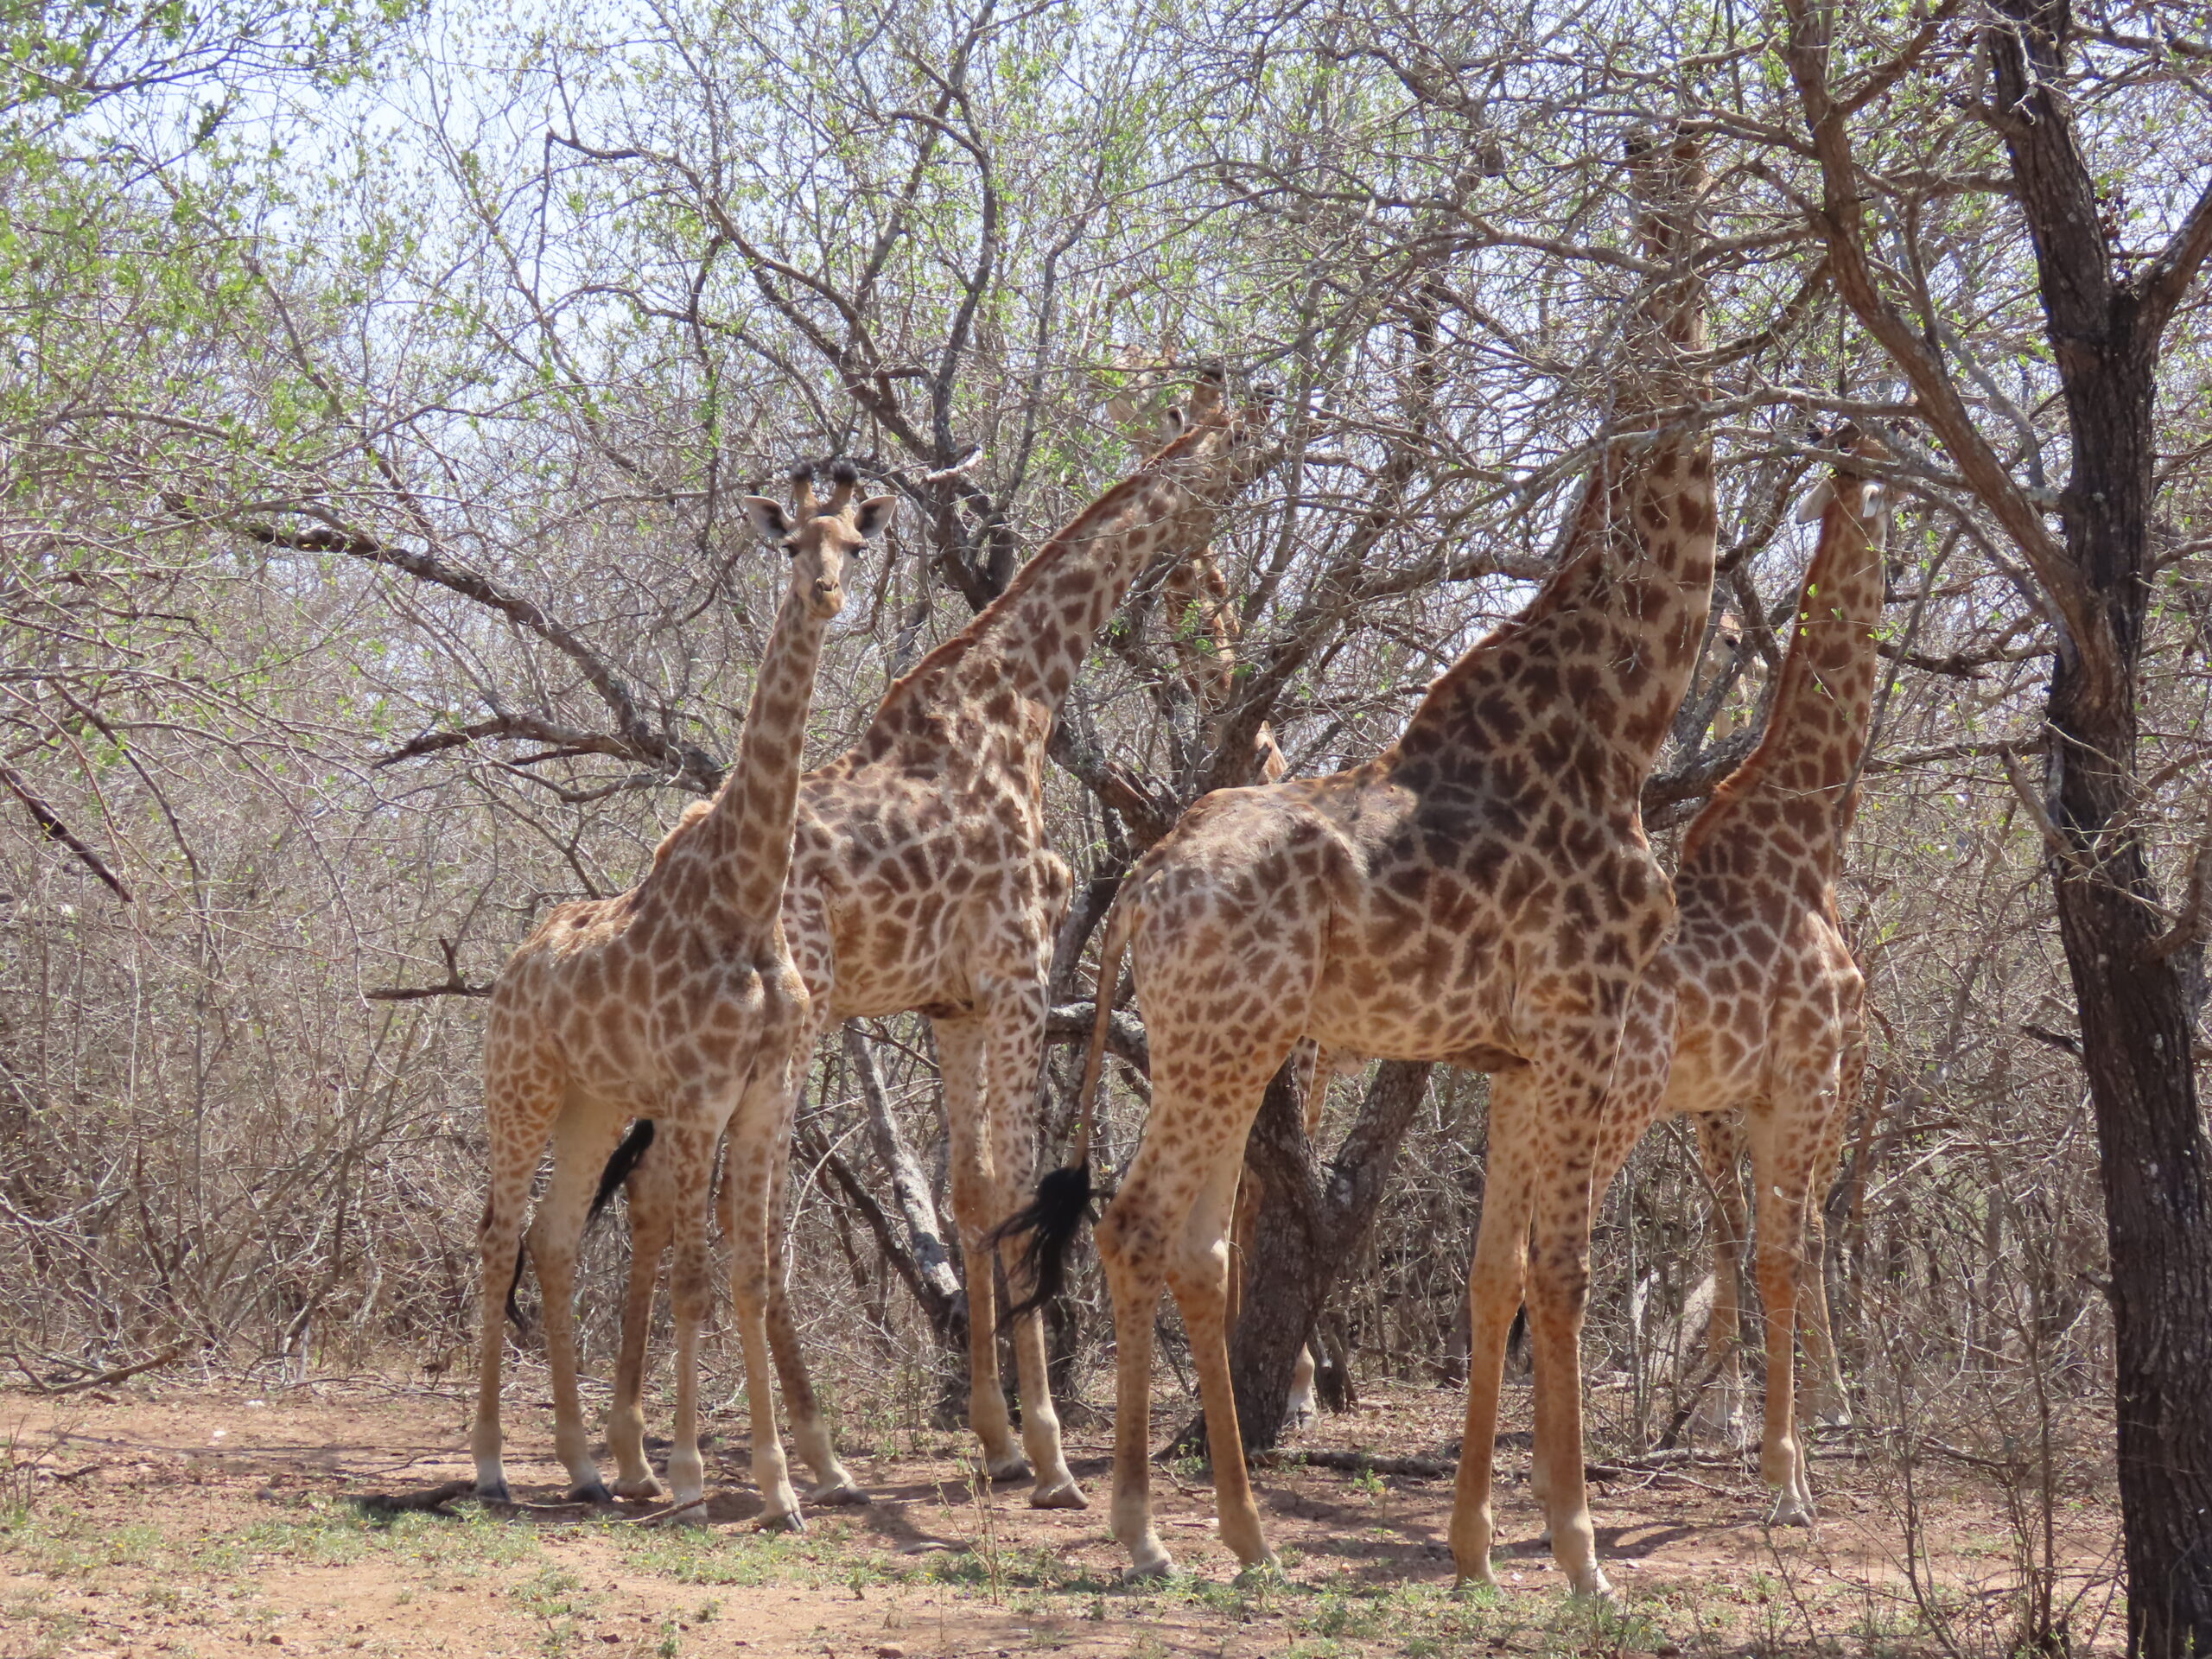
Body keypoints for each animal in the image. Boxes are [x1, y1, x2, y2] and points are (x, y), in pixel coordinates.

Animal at [470, 463, 896, 1522]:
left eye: (855, 546)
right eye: (791, 544)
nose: (827, 595)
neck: (746, 901)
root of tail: (512, 966)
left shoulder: (765, 1095)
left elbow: (751, 1272)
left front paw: (780, 1487)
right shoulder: (702, 1095)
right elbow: (698, 1278)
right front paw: (704, 1480)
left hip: (592, 1103)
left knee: (554, 1238)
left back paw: (585, 1468)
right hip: (521, 1089)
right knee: (498, 1236)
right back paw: (493, 1465)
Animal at [599, 374, 1276, 1515]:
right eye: (1231, 451)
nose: (1221, 603)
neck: (1021, 699)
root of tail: (662, 865)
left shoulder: (950, 1003)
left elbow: (967, 1193)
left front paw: (999, 1442)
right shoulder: (1016, 974)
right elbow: (1012, 1187)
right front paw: (1050, 1458)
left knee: (689, 1202)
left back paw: (685, 1457)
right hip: (789, 1025)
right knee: (744, 1216)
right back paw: (777, 1465)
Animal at [1016, 136, 1713, 1593]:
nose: (1685, 264)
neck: (1625, 721)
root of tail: (1144, 887)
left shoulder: (1517, 1061)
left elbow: (1497, 1278)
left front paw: (1477, 1551)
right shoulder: (1590, 1037)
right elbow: (1561, 1277)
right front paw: (1581, 1559)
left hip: (1217, 1044)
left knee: (1189, 1239)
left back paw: (1232, 1534)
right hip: (1228, 1040)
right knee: (1145, 1227)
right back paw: (1158, 1535)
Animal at [1585, 432, 1890, 1524]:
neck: (1809, 836)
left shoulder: (1750, 1097)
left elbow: (1755, 1243)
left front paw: (1748, 1430)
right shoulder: (1804, 1080)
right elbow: (1776, 1253)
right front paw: (1783, 1477)